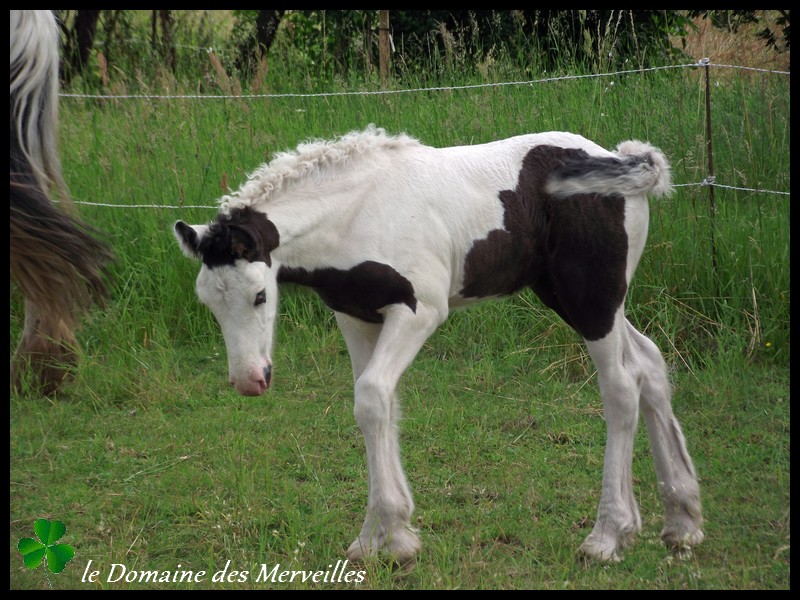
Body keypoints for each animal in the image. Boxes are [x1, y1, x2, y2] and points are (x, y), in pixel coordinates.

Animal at [173, 125, 700, 564]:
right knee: (650, 364)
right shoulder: (356, 317)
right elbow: (379, 404)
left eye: (260, 296)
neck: (356, 212)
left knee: (621, 388)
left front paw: (391, 536)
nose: (250, 380)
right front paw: (381, 539)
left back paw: (608, 535)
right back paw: (682, 521)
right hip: (580, 298)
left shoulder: (419, 310)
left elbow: (372, 398)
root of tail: (622, 159)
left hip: (591, 297)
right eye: (208, 302)